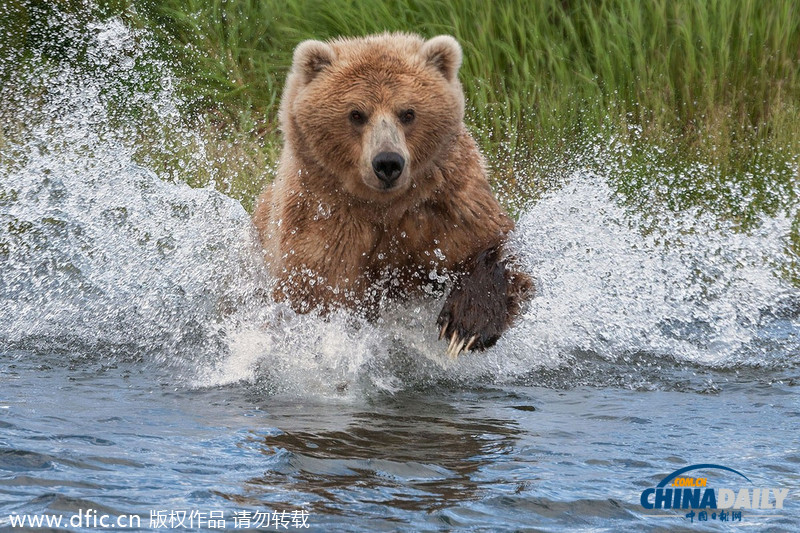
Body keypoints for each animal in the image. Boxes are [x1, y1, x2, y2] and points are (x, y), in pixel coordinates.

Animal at [253, 32, 532, 358]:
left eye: (408, 112)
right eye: (356, 114)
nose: (388, 162)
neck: (384, 206)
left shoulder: (447, 204)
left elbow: (492, 245)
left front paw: (465, 328)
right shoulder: (324, 225)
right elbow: (316, 294)